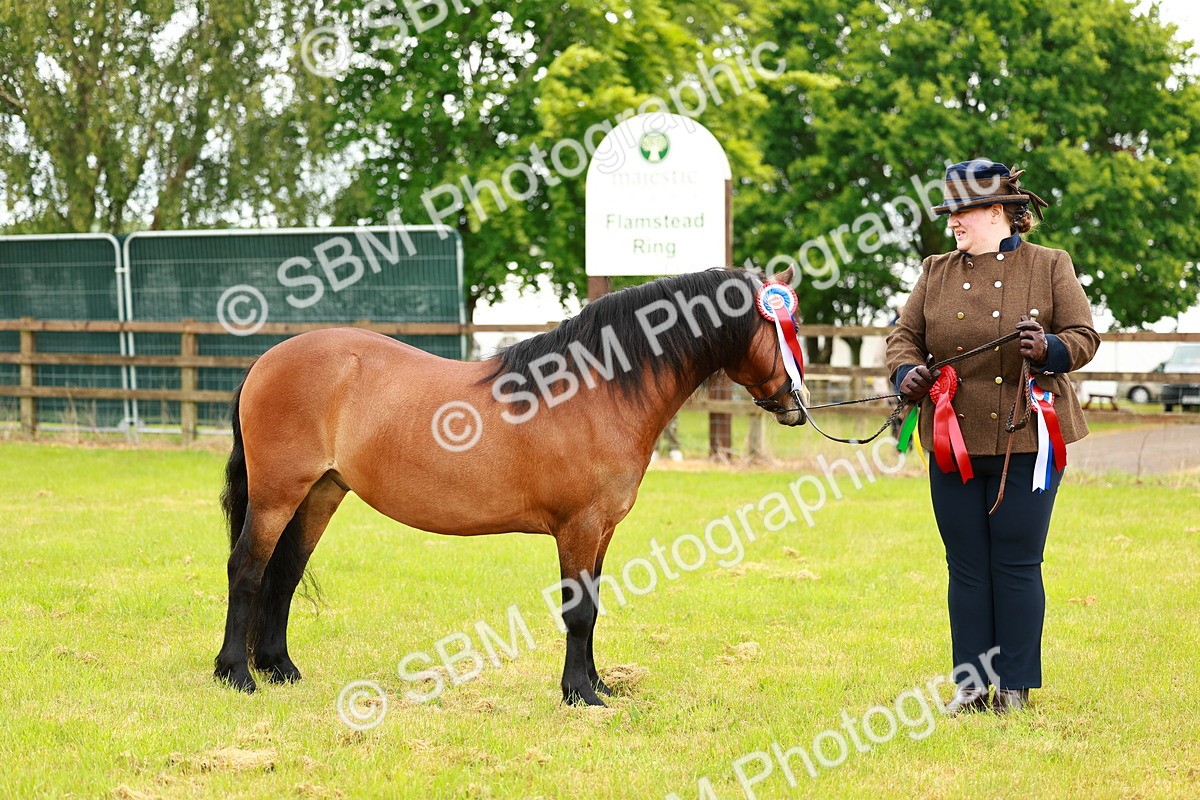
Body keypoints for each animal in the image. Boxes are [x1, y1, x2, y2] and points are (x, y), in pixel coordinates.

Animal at [214, 265, 806, 707]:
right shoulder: (578, 527)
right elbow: (578, 611)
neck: (597, 392)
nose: (796, 405)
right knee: (247, 570)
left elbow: (594, 606)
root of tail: (267, 360)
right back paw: (236, 675)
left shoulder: (603, 531)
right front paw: (579, 695)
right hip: (277, 494)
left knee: (285, 573)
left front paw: (598, 684)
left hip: (321, 492)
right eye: (787, 327)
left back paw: (280, 669)